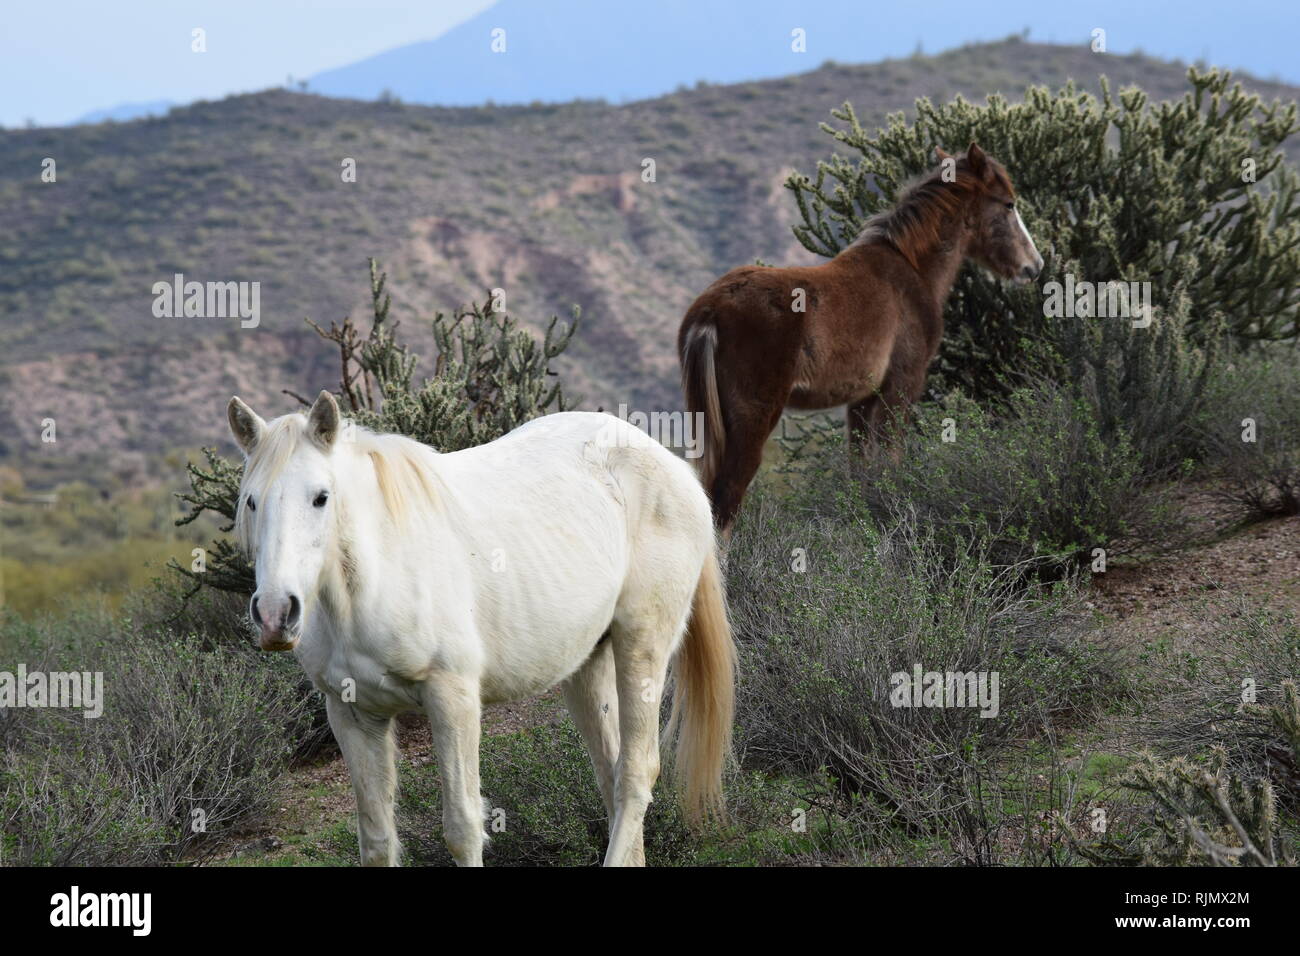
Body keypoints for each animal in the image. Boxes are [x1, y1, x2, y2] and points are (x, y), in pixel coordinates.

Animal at [228, 390, 738, 868]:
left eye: (321, 497)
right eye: (251, 501)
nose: (275, 613)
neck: (370, 583)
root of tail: (671, 465)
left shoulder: (452, 701)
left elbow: (462, 826)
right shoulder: (352, 713)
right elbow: (375, 840)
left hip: (642, 648)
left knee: (635, 776)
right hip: (588, 666)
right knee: (610, 777)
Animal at [676, 143, 1040, 535]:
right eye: (1008, 204)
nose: (1034, 266)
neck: (912, 271)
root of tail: (710, 310)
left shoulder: (862, 400)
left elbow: (861, 472)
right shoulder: (902, 385)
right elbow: (891, 460)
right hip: (752, 420)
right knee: (725, 500)